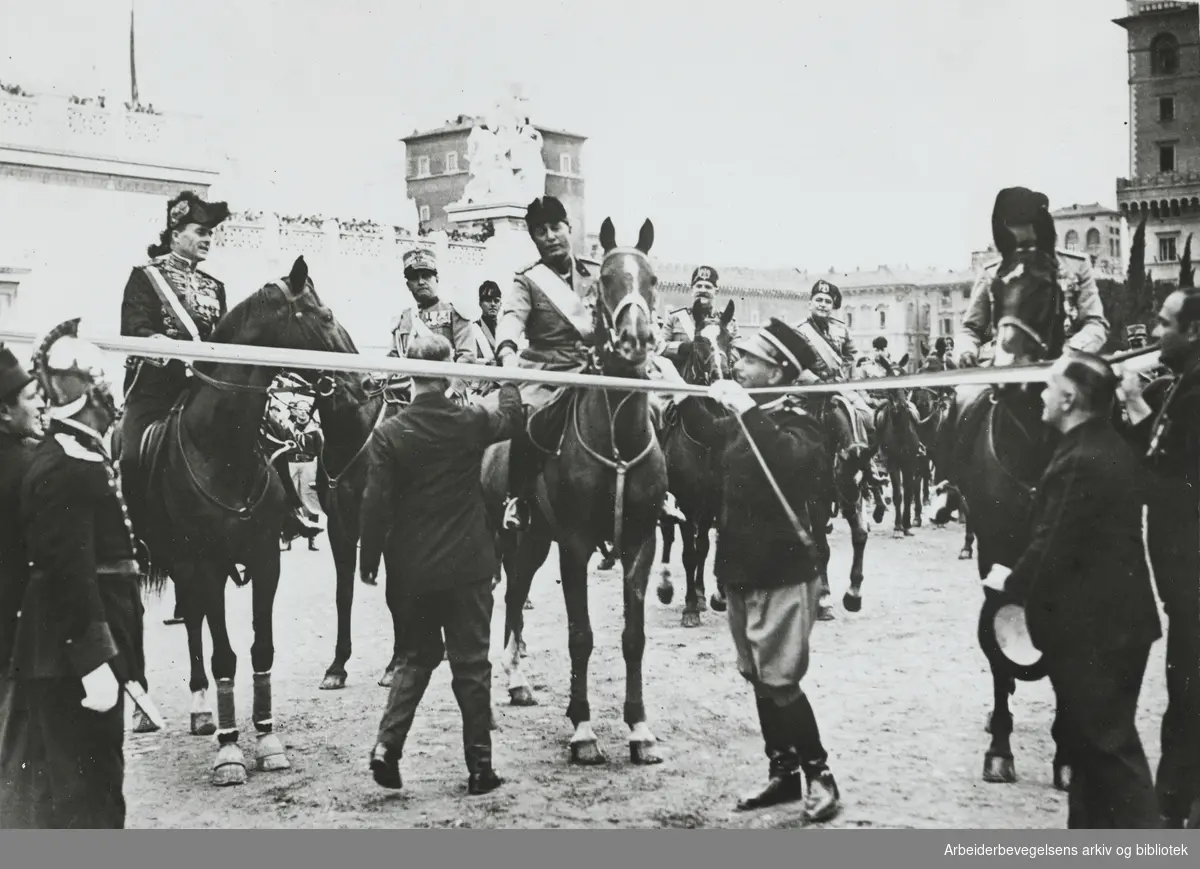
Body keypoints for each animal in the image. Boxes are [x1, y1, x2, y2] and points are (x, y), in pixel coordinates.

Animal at [132, 258, 355, 787]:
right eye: (324, 316)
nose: (355, 380)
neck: (221, 448)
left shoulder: (264, 558)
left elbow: (260, 650)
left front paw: (267, 739)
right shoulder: (208, 563)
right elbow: (225, 656)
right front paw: (230, 749)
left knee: (192, 618)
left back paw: (201, 710)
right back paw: (157, 709)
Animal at [482, 217, 672, 768]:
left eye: (652, 278)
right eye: (607, 278)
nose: (635, 339)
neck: (617, 438)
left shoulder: (641, 543)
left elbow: (633, 637)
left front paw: (639, 729)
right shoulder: (574, 545)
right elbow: (581, 636)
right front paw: (583, 729)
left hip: (533, 541)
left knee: (516, 595)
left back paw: (518, 680)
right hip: (508, 538)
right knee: (507, 597)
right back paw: (508, 682)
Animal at [652, 298, 734, 624]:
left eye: (728, 338)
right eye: (699, 341)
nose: (720, 376)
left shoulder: (716, 501)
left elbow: (704, 548)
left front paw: (706, 596)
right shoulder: (686, 502)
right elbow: (687, 552)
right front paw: (688, 607)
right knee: (668, 534)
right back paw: (665, 586)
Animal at [931, 247, 1075, 792]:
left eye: (1048, 289)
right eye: (996, 291)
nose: (1010, 369)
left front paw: (1067, 752)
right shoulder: (996, 548)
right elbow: (996, 652)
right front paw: (999, 748)